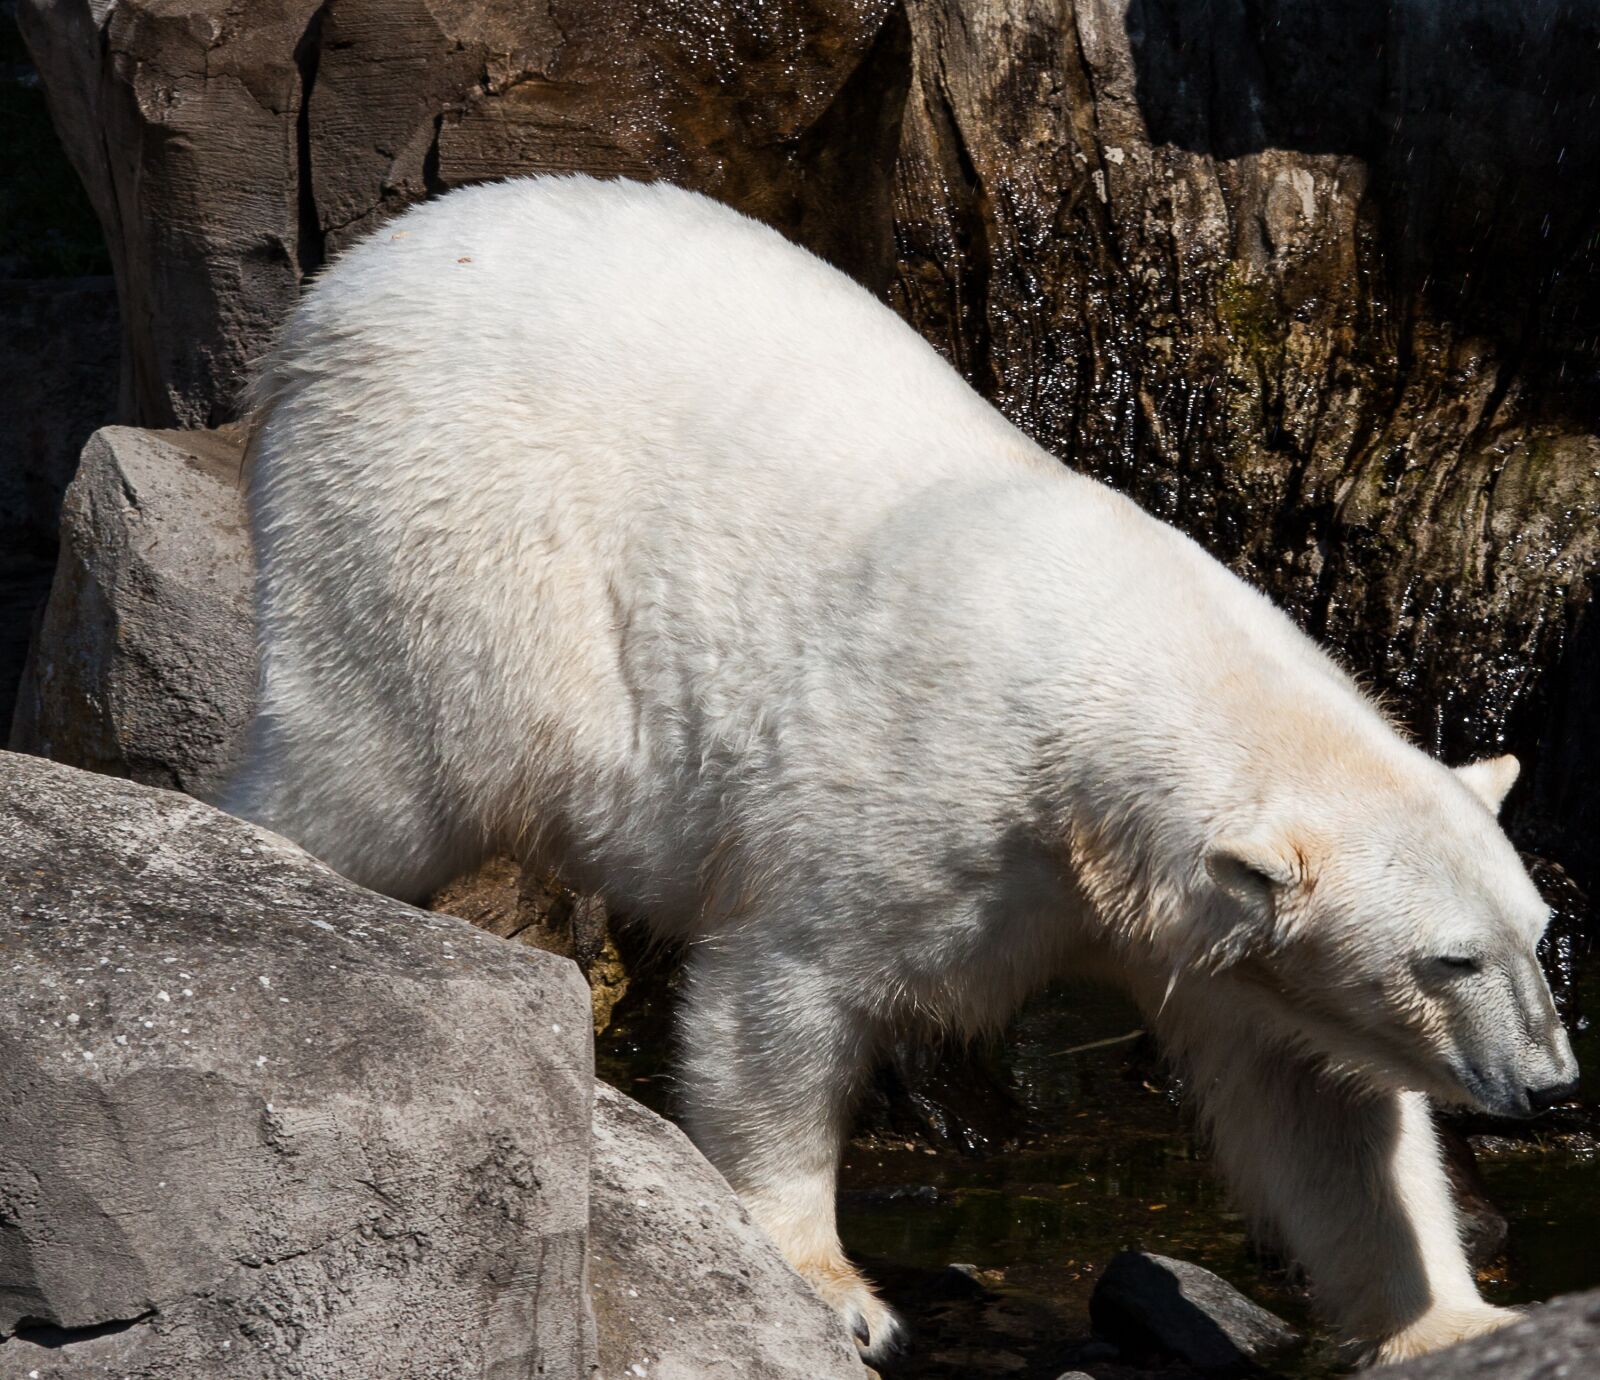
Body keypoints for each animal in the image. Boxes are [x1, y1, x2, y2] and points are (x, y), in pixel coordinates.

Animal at [221, 174, 1580, 1364]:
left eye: (1534, 935)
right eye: (1447, 960)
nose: (1554, 1085)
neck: (1116, 700)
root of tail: (336, 293)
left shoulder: (1189, 928)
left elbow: (1323, 1116)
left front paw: (1455, 1322)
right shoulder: (922, 804)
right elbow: (781, 998)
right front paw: (836, 1292)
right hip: (444, 535)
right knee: (370, 774)